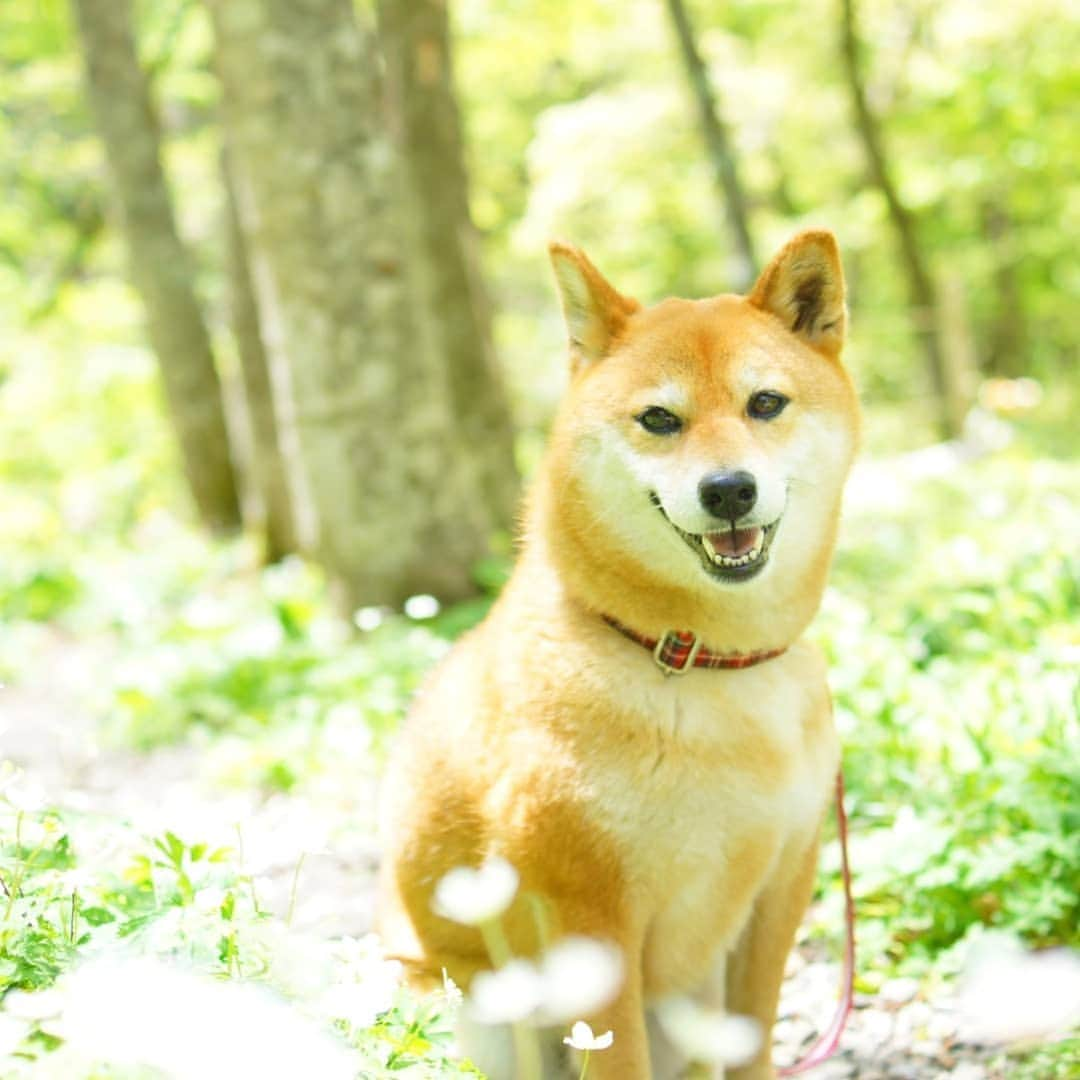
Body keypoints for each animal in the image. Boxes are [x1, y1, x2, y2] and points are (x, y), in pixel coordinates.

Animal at [380, 230, 859, 1080]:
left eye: (765, 403)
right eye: (659, 418)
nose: (728, 489)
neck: (704, 664)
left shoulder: (781, 887)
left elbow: (758, 1041)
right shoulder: (592, 918)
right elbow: (618, 1058)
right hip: (484, 1014)